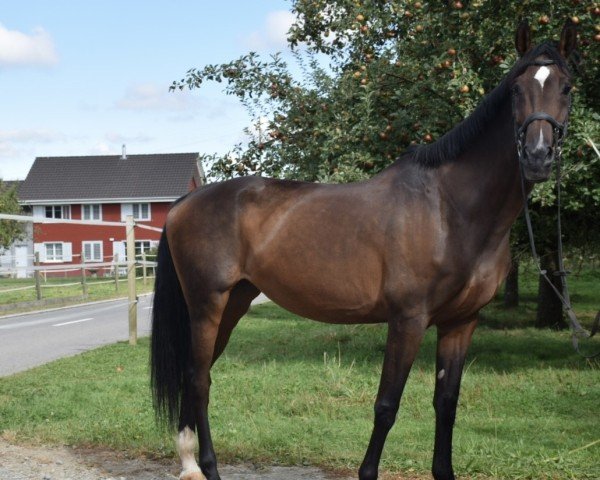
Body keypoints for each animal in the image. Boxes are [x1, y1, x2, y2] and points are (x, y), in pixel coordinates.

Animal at [151, 21, 576, 480]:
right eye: (516, 89)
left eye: (567, 87)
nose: (537, 156)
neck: (449, 207)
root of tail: (184, 203)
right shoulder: (407, 320)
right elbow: (387, 406)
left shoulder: (461, 322)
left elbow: (446, 404)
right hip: (207, 304)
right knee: (198, 379)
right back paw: (206, 466)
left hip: (233, 302)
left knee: (197, 374)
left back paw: (189, 463)